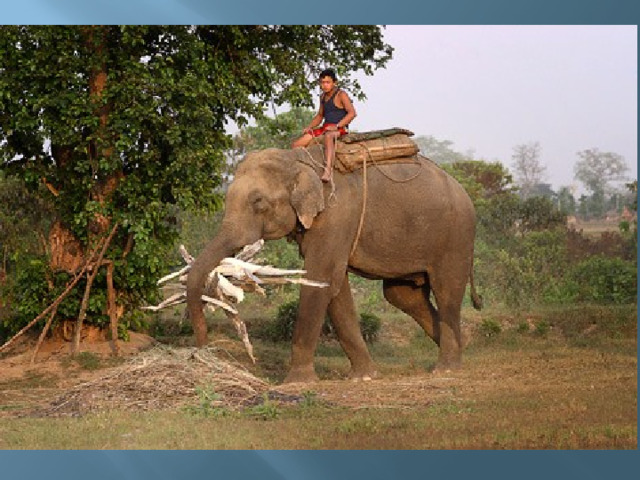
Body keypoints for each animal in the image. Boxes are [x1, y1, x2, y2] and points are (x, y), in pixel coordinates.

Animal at [185, 144, 480, 384]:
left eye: (258, 202)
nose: (202, 350)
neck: (298, 159)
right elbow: (336, 289)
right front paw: (365, 377)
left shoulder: (336, 216)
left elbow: (320, 278)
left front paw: (297, 383)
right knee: (403, 295)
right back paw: (463, 346)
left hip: (456, 237)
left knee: (446, 291)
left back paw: (447, 369)